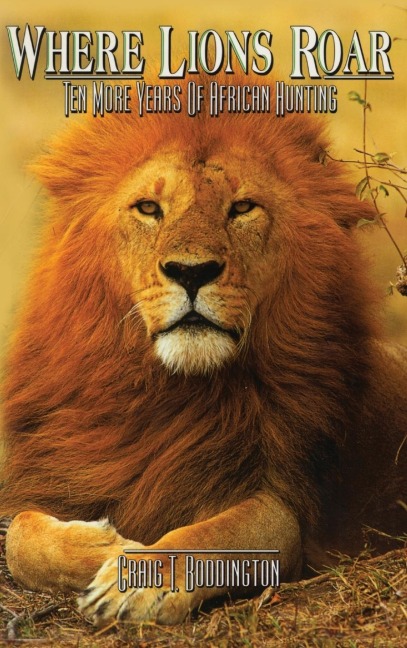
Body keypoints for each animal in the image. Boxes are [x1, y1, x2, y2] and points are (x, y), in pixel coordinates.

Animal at [1, 72, 406, 627]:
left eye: (242, 208)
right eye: (150, 208)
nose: (191, 272)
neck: (168, 390)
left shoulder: (280, 504)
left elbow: (214, 535)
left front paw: (138, 578)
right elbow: (19, 535)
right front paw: (109, 546)